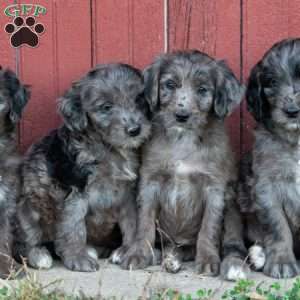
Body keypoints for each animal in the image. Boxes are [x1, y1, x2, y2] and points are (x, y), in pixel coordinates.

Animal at [17, 64, 151, 274]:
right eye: (106, 107)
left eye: (139, 99)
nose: (134, 130)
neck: (109, 148)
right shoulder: (74, 190)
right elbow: (73, 226)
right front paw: (78, 258)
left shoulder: (128, 191)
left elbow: (132, 222)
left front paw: (129, 251)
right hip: (27, 208)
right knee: (27, 240)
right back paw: (39, 255)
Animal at [227, 38, 300, 278]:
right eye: (272, 82)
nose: (291, 111)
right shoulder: (266, 186)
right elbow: (278, 226)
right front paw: (282, 262)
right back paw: (257, 255)